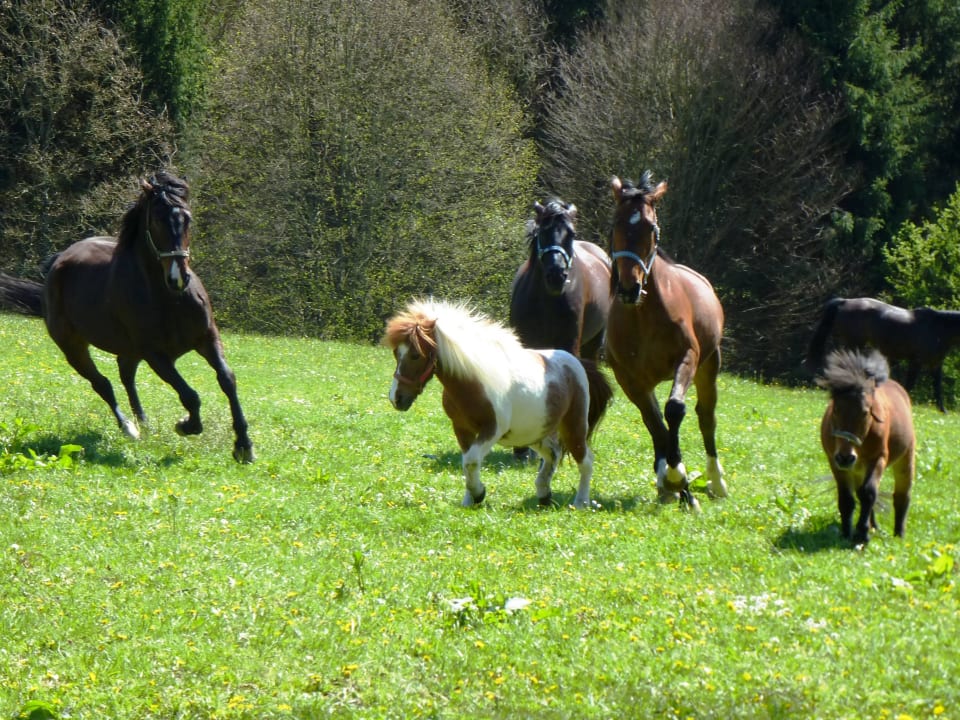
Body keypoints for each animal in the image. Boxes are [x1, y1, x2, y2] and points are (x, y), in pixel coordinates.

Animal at [0, 171, 254, 463]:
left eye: (187, 218)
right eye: (157, 220)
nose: (178, 278)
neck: (169, 298)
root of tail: (58, 261)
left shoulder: (207, 338)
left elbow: (227, 380)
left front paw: (243, 446)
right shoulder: (156, 355)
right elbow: (190, 395)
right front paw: (187, 425)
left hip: (130, 351)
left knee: (126, 376)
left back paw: (144, 422)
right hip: (73, 348)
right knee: (103, 384)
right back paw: (130, 428)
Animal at [383, 298, 613, 508]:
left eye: (415, 355)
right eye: (395, 353)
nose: (396, 398)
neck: (473, 381)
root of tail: (576, 363)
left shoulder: (492, 429)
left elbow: (471, 460)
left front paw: (478, 494)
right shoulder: (462, 428)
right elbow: (468, 463)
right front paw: (469, 500)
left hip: (574, 427)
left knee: (585, 461)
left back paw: (581, 502)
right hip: (533, 433)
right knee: (553, 454)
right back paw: (544, 495)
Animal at [604, 172, 727, 509]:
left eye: (651, 228)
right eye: (615, 225)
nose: (629, 288)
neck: (643, 314)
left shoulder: (688, 358)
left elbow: (674, 410)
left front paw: (678, 480)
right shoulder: (629, 378)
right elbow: (655, 422)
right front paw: (674, 481)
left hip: (709, 365)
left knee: (706, 417)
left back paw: (716, 481)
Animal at [806, 296, 960, 412]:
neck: (937, 328)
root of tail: (845, 301)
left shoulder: (936, 363)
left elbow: (937, 387)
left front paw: (943, 410)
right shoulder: (916, 361)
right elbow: (910, 383)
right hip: (854, 343)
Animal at [817, 349, 915, 546]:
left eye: (865, 412)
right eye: (836, 409)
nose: (846, 457)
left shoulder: (878, 458)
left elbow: (869, 492)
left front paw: (862, 534)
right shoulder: (835, 463)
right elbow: (847, 498)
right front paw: (846, 533)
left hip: (905, 457)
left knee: (901, 495)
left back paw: (899, 534)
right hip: (856, 469)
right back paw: (873, 525)